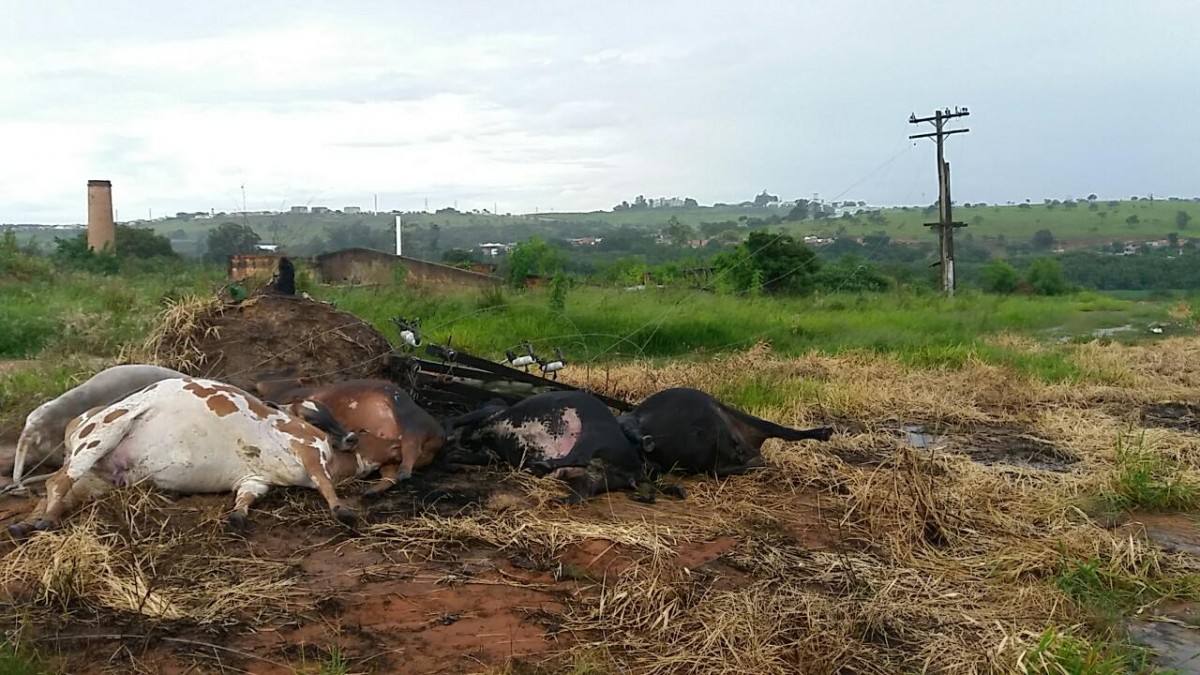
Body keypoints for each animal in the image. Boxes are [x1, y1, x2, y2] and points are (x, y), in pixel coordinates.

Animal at [5, 372, 388, 535]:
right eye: (314, 415)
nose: (351, 438)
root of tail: (78, 421)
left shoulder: (255, 479)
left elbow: (245, 499)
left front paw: (238, 516)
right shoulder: (308, 449)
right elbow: (325, 485)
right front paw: (341, 509)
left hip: (97, 479)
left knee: (56, 492)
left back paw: (29, 522)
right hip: (103, 434)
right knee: (56, 483)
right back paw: (43, 522)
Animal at [255, 374, 444, 497]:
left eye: (330, 412)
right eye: (314, 423)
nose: (353, 437)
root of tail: (439, 436)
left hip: (408, 418)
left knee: (412, 445)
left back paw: (403, 473)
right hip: (390, 457)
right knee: (391, 475)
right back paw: (370, 492)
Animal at [446, 386, 681, 502]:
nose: (464, 440)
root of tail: (636, 470)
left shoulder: (488, 416)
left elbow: (458, 420)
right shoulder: (489, 452)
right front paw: (453, 455)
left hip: (593, 432)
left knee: (579, 457)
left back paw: (541, 467)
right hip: (595, 478)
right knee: (582, 493)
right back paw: (555, 495)